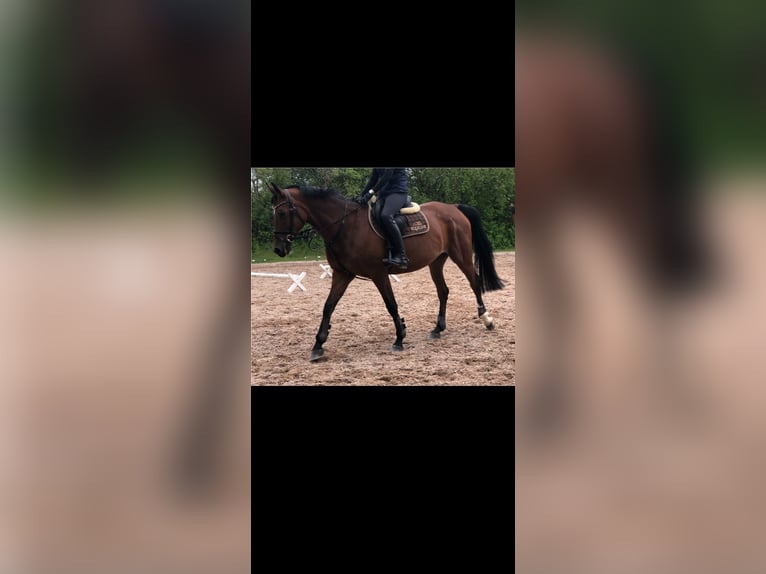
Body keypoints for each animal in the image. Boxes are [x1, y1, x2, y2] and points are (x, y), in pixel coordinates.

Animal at [267, 182, 505, 362]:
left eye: (282, 213)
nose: (278, 249)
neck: (346, 226)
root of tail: (454, 208)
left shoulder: (379, 274)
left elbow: (391, 305)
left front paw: (399, 338)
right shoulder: (341, 274)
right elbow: (328, 306)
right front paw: (318, 345)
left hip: (461, 256)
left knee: (474, 282)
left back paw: (487, 320)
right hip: (436, 261)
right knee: (443, 291)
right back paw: (438, 329)